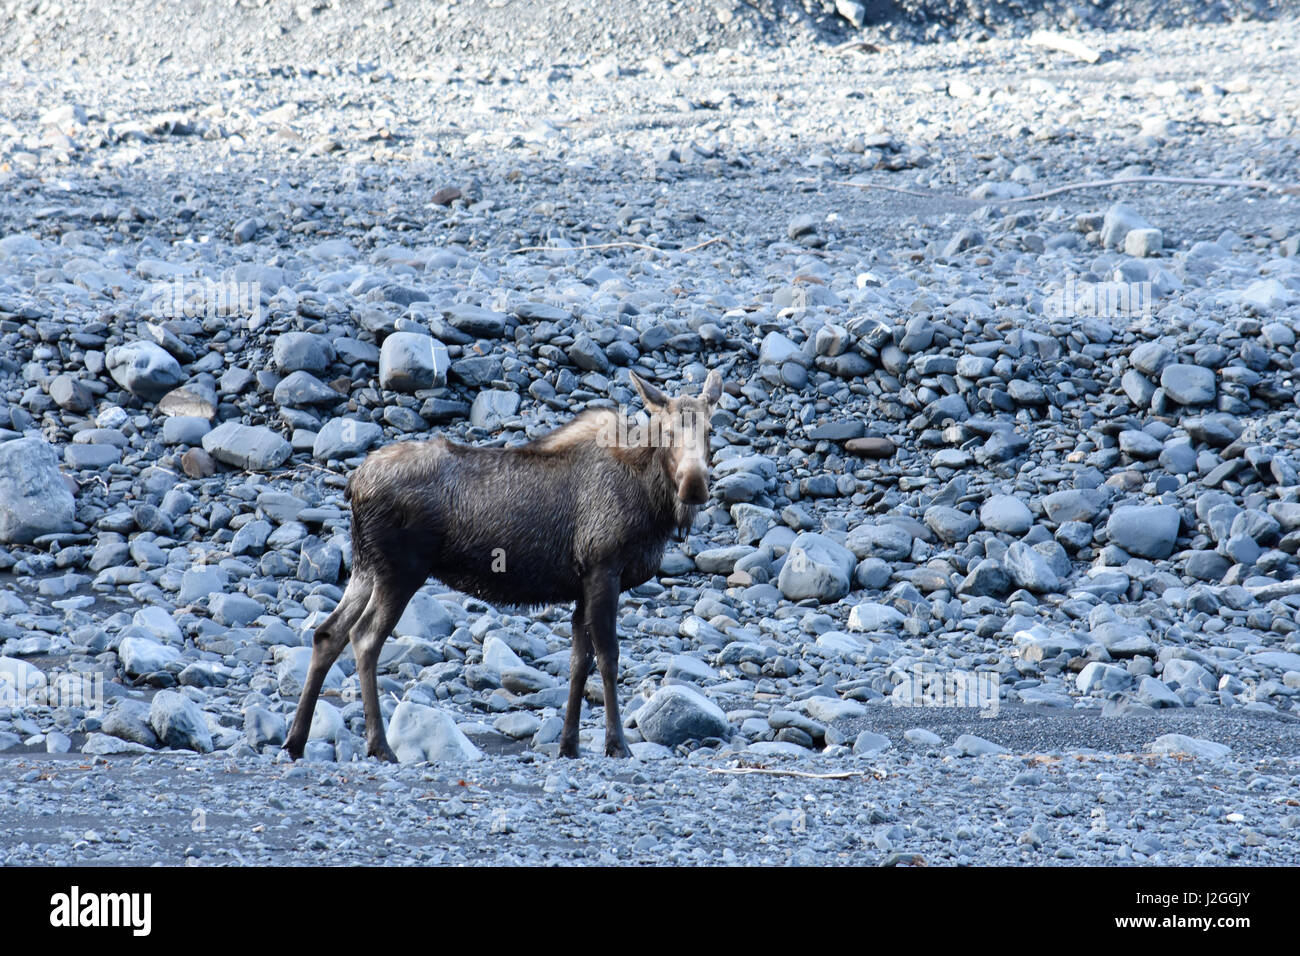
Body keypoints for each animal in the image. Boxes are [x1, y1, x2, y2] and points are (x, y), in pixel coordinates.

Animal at [284, 369, 728, 764]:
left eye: (710, 431)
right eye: (667, 432)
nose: (694, 485)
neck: (653, 505)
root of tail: (354, 485)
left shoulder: (582, 585)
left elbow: (578, 663)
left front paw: (569, 745)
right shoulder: (604, 570)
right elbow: (608, 656)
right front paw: (616, 744)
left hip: (366, 568)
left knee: (327, 634)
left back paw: (296, 740)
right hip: (400, 571)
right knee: (364, 638)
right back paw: (379, 746)